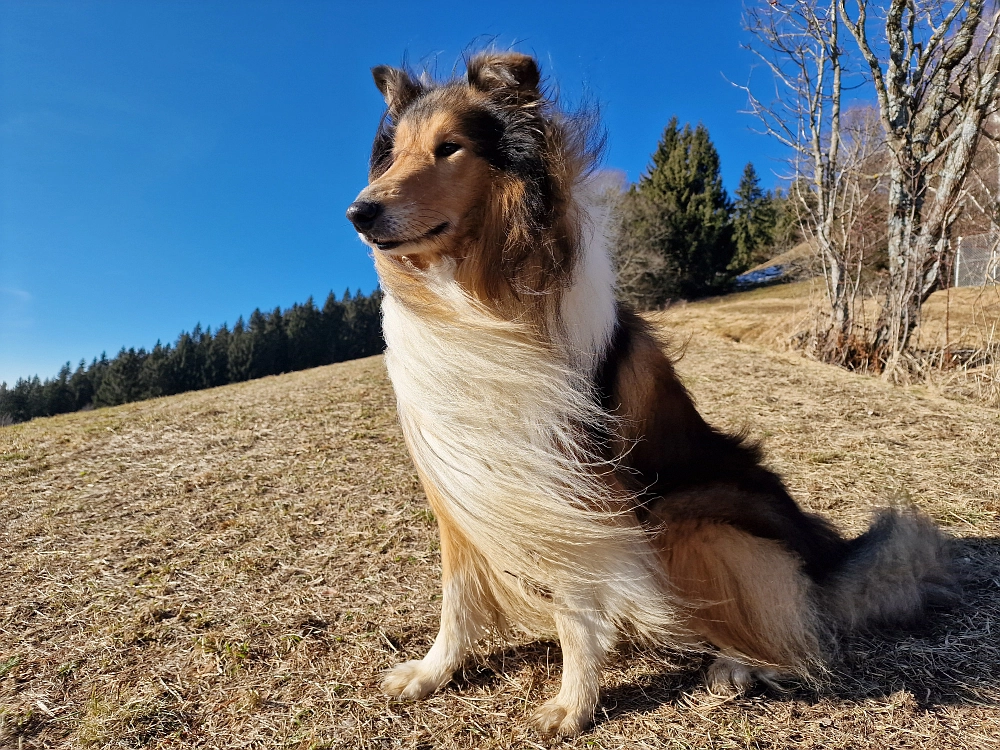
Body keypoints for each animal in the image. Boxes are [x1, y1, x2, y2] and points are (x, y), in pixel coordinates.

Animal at [346, 53, 960, 740]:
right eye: (393, 154)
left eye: (449, 147)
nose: (358, 213)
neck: (475, 296)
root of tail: (827, 557)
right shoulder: (462, 484)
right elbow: (456, 596)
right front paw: (432, 673)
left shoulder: (572, 489)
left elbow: (576, 603)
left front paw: (574, 703)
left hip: (686, 518)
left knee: (788, 622)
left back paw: (738, 664)